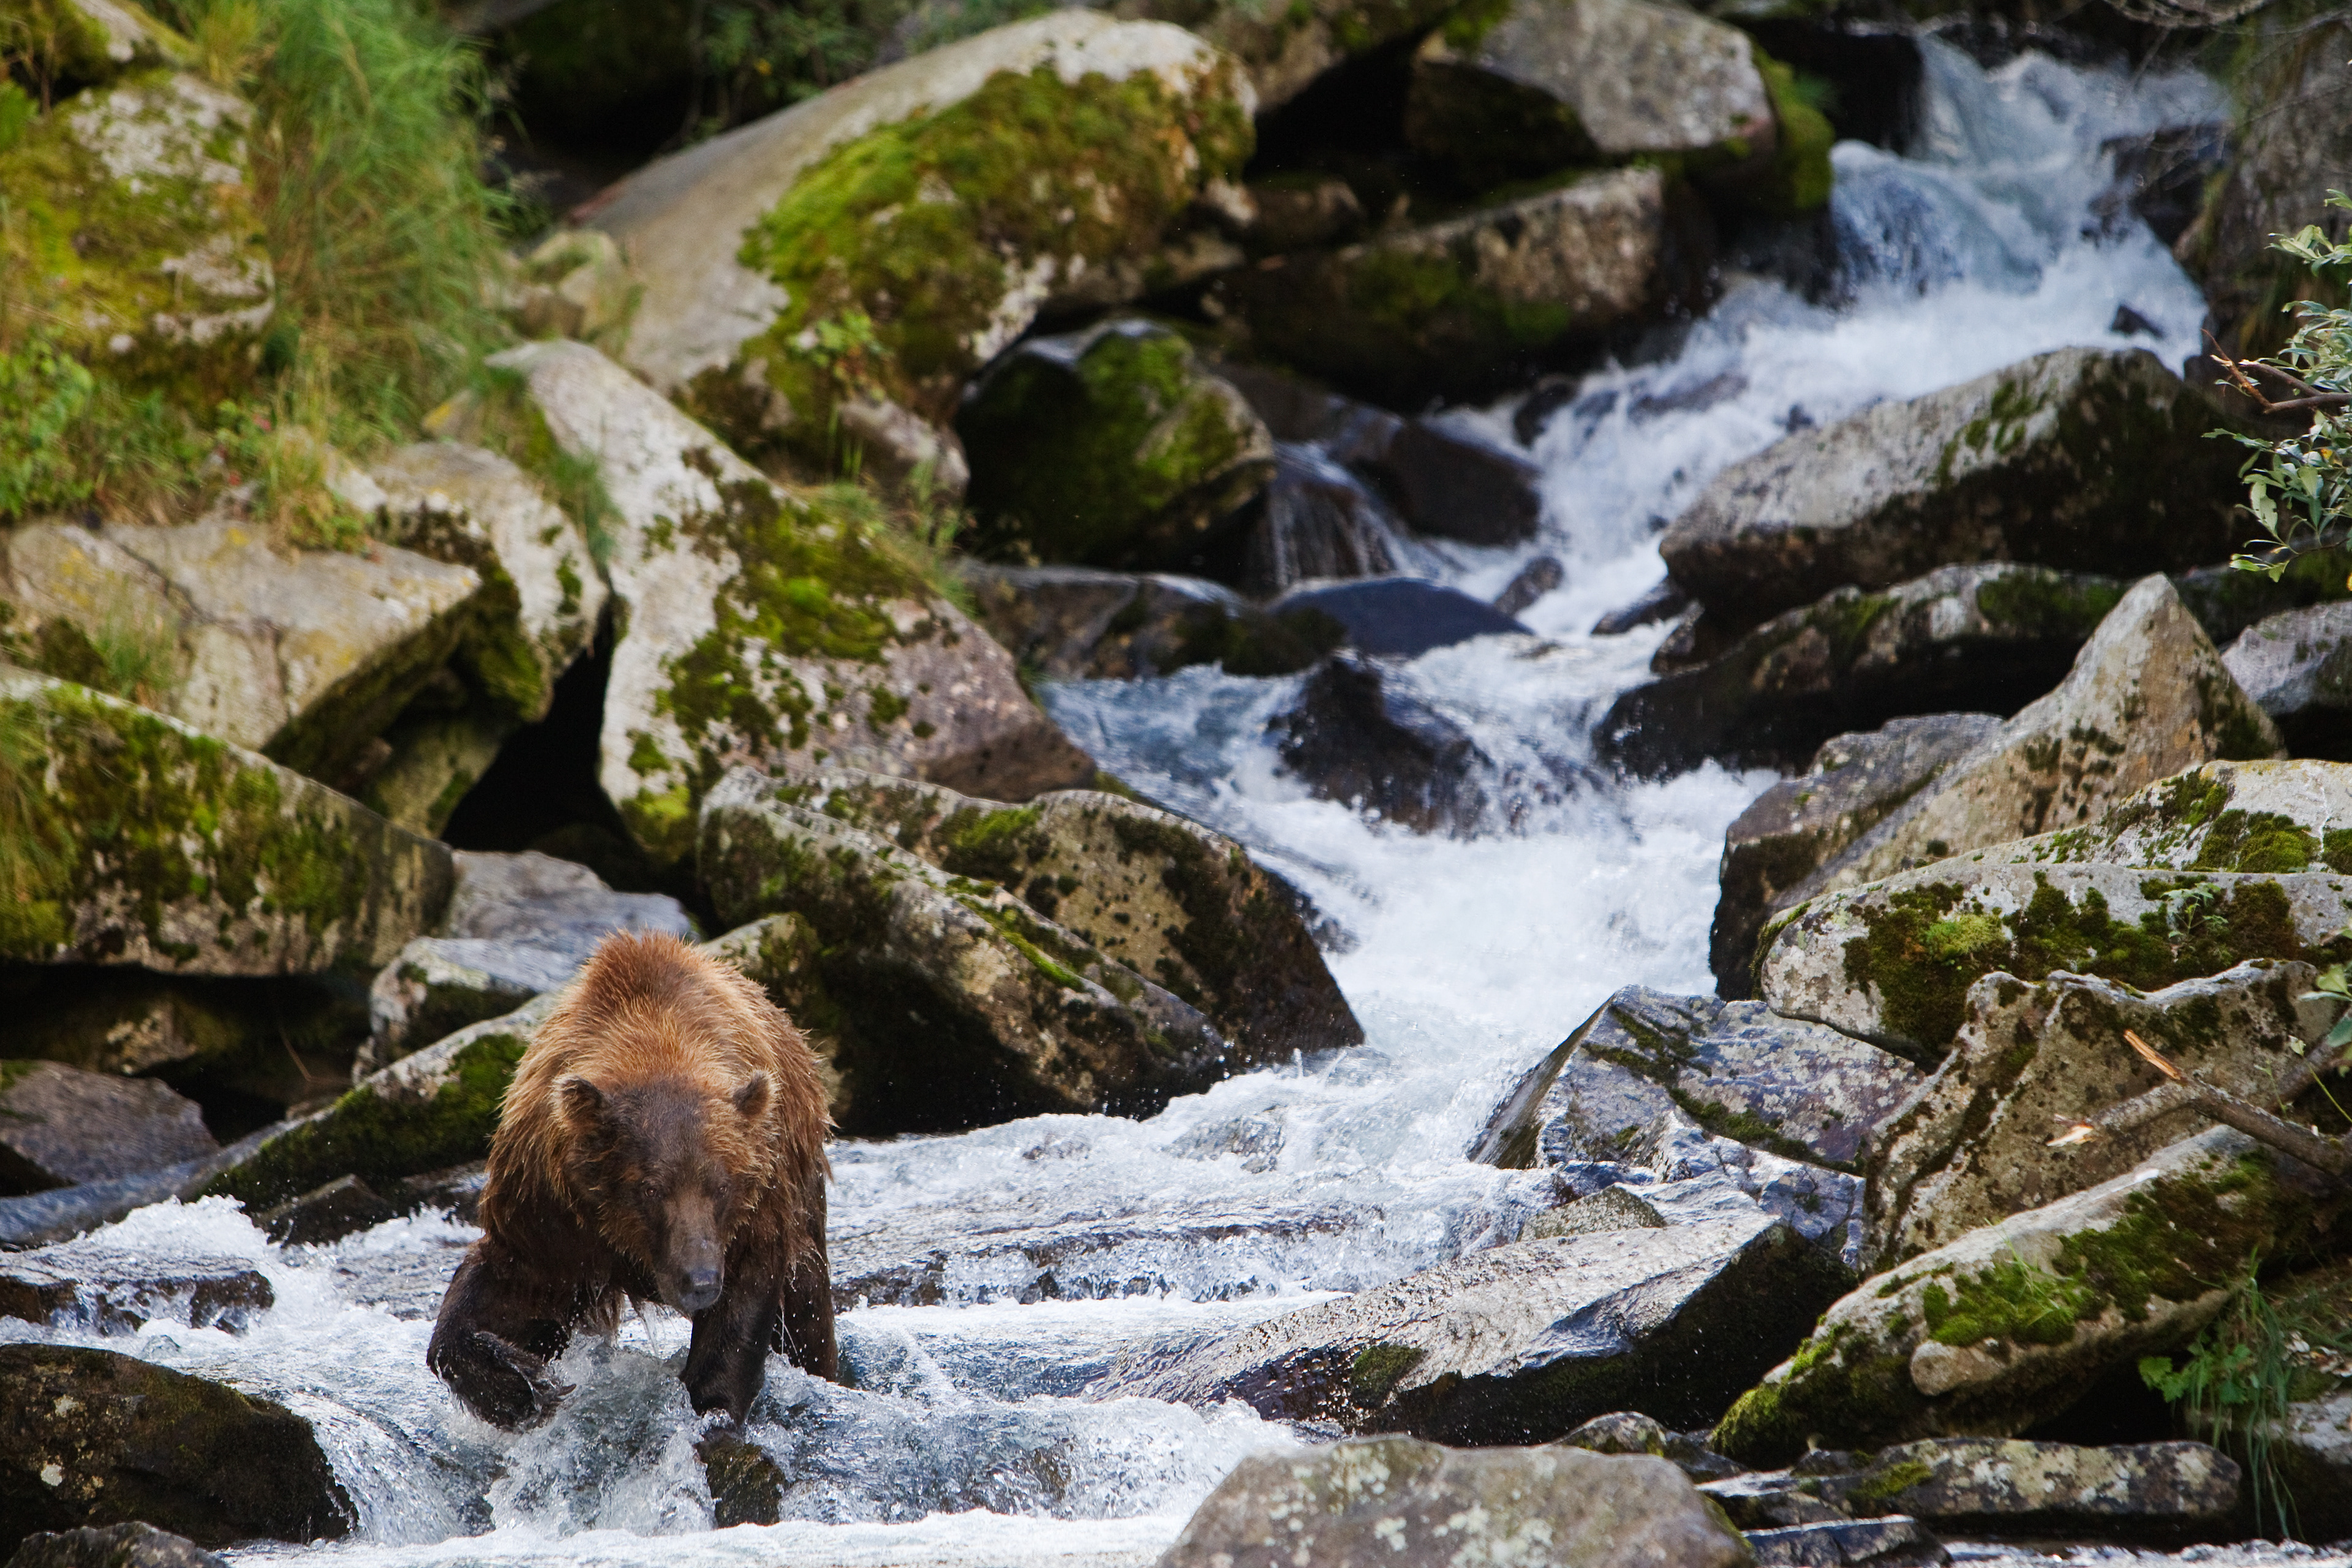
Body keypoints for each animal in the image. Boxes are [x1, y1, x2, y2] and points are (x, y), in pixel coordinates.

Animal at [427, 931, 836, 1429]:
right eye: (650, 1188)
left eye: (722, 1186)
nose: (699, 1281)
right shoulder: (549, 1210)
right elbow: (507, 1286)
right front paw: (522, 1385)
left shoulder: (759, 1204)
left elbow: (743, 1310)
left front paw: (711, 1404)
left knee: (808, 1314)